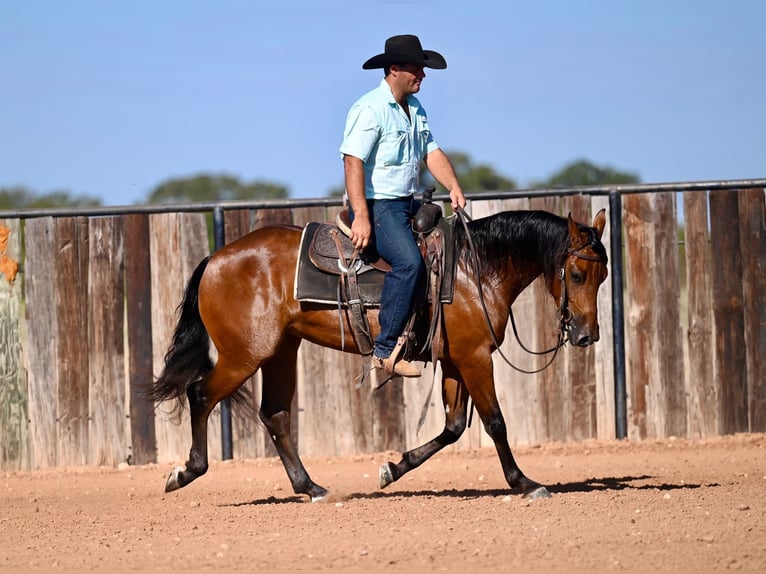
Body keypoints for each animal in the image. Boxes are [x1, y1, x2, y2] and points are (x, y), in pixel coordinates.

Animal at [154, 208, 612, 504]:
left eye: (603, 275)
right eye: (576, 274)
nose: (587, 335)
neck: (475, 269)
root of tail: (215, 258)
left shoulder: (454, 361)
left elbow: (453, 427)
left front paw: (393, 469)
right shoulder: (476, 357)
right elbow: (495, 422)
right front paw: (525, 482)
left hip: (280, 351)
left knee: (275, 415)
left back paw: (311, 488)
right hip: (244, 355)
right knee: (200, 395)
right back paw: (186, 472)